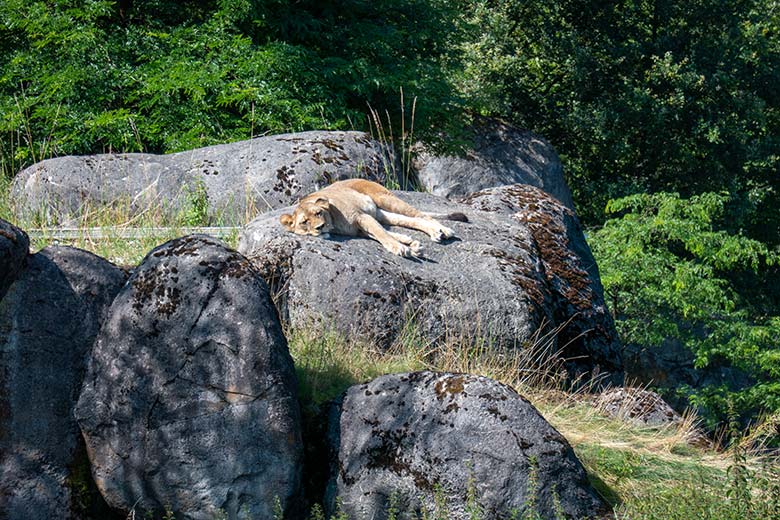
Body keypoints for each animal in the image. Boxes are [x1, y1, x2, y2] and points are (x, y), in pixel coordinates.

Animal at [278, 179, 464, 258]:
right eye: (304, 222)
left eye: (318, 213)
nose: (320, 227)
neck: (334, 224)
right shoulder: (360, 229)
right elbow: (382, 234)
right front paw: (411, 246)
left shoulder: (362, 217)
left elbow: (383, 235)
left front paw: (401, 248)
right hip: (381, 213)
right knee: (411, 221)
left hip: (385, 199)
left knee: (421, 215)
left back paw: (442, 231)